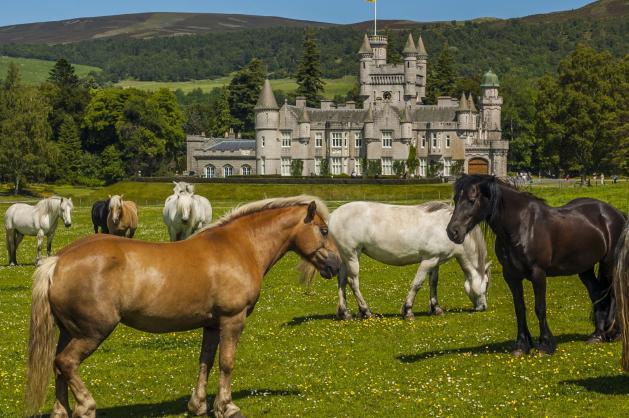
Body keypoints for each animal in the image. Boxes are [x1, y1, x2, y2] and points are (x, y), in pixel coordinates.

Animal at [24, 195, 340, 418]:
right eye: (324, 230)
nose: (336, 265)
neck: (240, 246)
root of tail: (59, 260)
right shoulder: (232, 319)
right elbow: (227, 362)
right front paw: (227, 407)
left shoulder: (212, 324)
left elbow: (206, 361)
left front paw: (198, 405)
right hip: (92, 332)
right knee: (66, 363)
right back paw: (86, 406)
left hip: (69, 331)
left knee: (58, 367)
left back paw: (62, 411)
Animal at [326, 201, 494, 318]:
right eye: (486, 285)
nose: (483, 307)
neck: (447, 229)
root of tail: (333, 216)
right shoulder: (428, 260)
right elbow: (417, 284)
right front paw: (407, 311)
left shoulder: (436, 261)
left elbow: (433, 284)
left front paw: (436, 308)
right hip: (352, 255)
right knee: (353, 282)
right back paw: (366, 311)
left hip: (346, 257)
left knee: (342, 281)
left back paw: (345, 313)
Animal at [444, 176, 624, 356]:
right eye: (456, 199)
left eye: (472, 200)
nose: (453, 232)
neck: (521, 225)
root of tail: (616, 214)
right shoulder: (511, 276)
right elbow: (519, 308)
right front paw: (521, 345)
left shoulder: (538, 273)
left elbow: (540, 308)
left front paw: (545, 345)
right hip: (585, 269)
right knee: (597, 294)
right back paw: (597, 335)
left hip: (609, 264)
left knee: (614, 295)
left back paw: (614, 334)